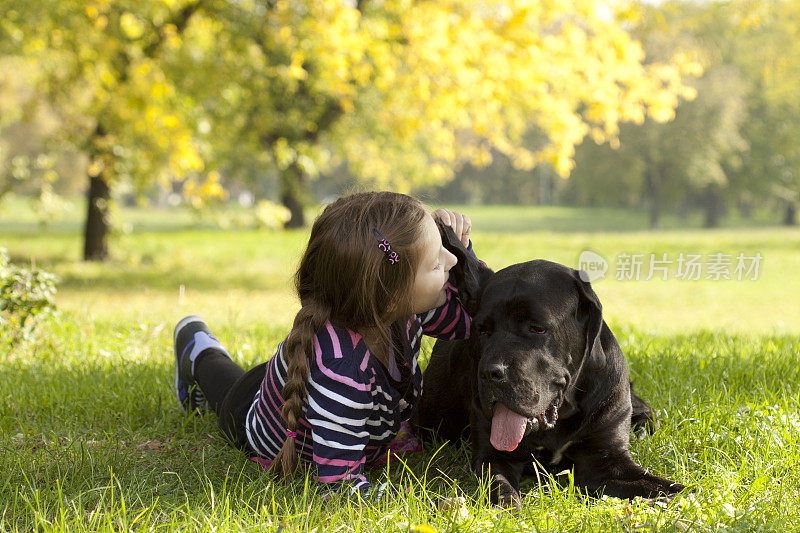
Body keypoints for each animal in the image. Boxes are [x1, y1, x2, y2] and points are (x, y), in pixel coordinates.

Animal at [416, 223, 684, 508]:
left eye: (537, 328)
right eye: (483, 330)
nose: (490, 373)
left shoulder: (608, 461)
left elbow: (672, 487)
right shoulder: (493, 456)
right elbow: (502, 489)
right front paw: (508, 509)